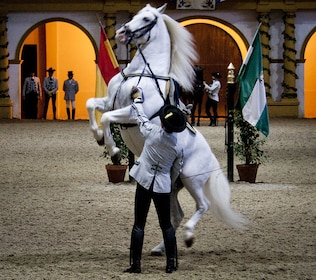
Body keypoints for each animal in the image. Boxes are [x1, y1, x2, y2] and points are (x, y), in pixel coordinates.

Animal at [87, 2, 249, 256]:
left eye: (147, 19)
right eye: (135, 15)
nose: (122, 33)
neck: (143, 72)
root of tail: (211, 159)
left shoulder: (132, 112)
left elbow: (106, 118)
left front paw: (113, 150)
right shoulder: (109, 102)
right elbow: (91, 105)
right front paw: (99, 137)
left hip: (191, 178)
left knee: (203, 205)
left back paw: (189, 237)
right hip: (172, 186)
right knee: (176, 215)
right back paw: (160, 248)